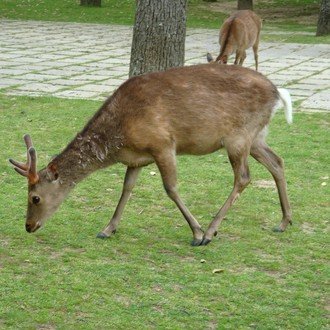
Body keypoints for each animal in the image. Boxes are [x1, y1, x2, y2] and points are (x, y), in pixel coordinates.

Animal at [9, 63, 292, 246]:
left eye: (34, 198)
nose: (28, 226)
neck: (120, 136)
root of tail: (278, 92)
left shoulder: (163, 144)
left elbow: (171, 188)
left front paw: (196, 232)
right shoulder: (137, 158)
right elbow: (126, 188)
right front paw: (107, 229)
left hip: (238, 137)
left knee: (243, 177)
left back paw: (211, 231)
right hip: (256, 137)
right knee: (277, 162)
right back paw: (285, 221)